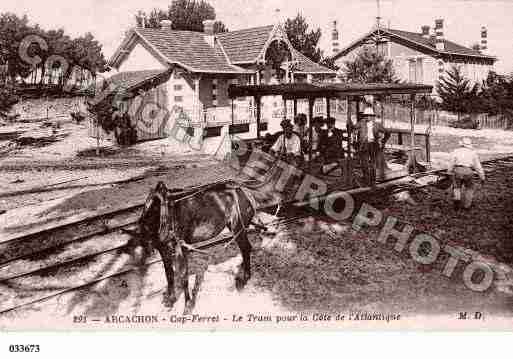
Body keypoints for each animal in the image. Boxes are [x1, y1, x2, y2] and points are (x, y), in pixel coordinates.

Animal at [129, 181, 260, 314]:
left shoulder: (181, 249)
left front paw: (187, 305)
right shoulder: (164, 251)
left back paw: (243, 279)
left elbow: (183, 276)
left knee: (245, 248)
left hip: (238, 227)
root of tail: (243, 190)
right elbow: (169, 274)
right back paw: (242, 275)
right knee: (245, 249)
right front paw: (170, 300)